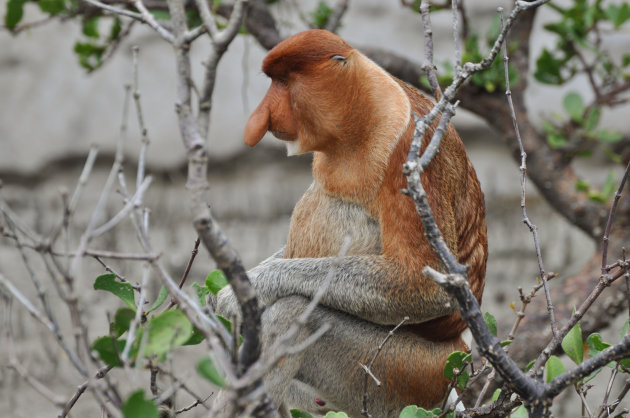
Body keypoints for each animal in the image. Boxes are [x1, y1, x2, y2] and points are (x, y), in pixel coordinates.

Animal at [217, 30, 488, 418]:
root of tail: (457, 356)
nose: (260, 118)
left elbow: (427, 285)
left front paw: (245, 291)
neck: (366, 111)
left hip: (406, 373)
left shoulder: (407, 151)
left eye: (283, 81)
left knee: (295, 313)